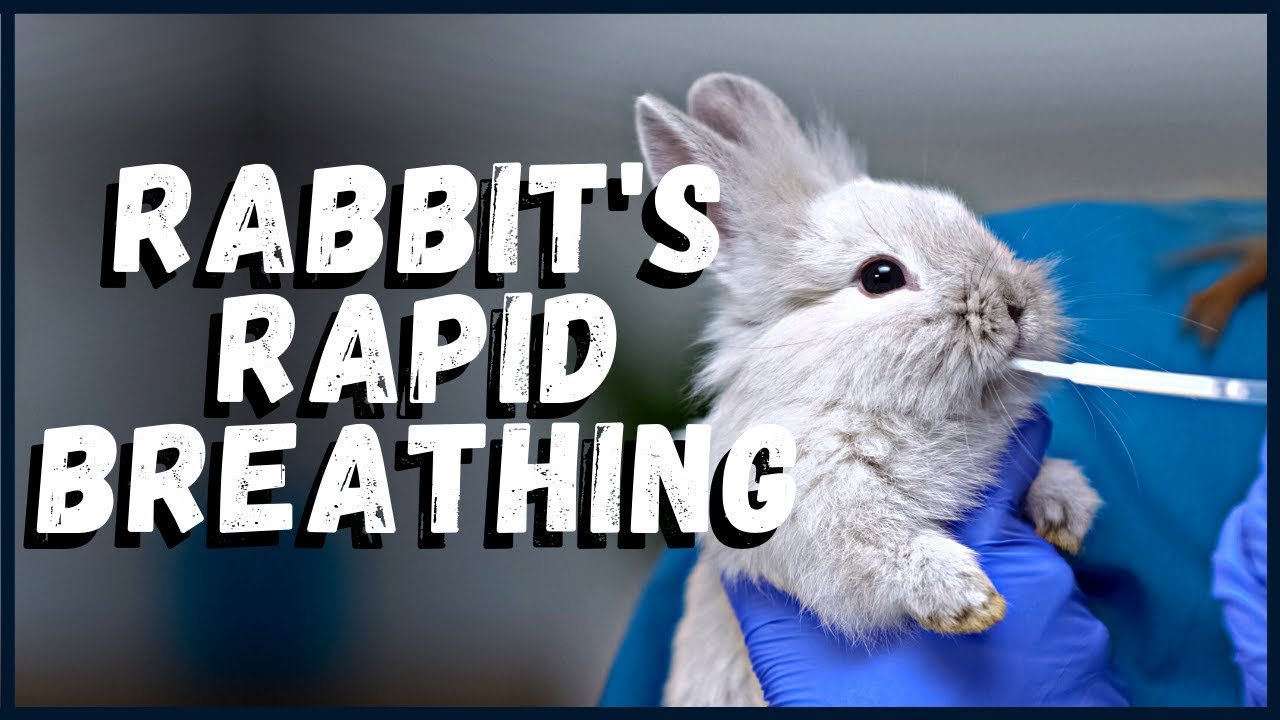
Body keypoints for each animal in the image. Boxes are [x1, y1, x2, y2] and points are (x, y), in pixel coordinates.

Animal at [633, 73, 1102, 707]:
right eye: (880, 276)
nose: (1015, 306)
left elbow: (1045, 476)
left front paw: (1068, 512)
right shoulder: (810, 513)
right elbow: (879, 548)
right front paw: (969, 598)